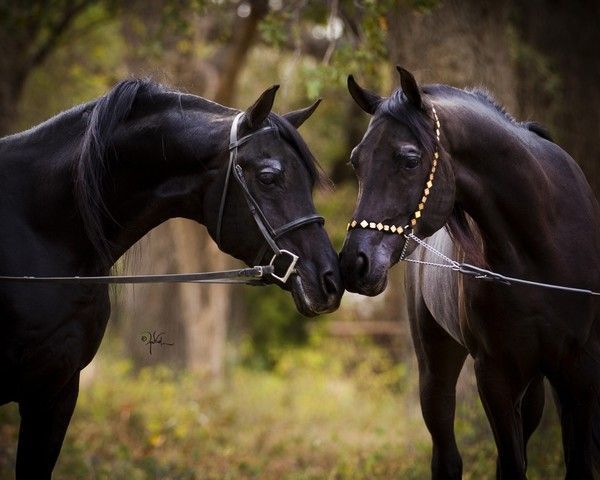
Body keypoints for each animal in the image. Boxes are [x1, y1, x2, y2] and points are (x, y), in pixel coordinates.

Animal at [340, 67, 596, 480]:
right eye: (355, 162)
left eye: (409, 160)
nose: (354, 263)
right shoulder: (495, 375)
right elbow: (510, 466)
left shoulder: (581, 371)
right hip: (436, 367)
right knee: (446, 457)